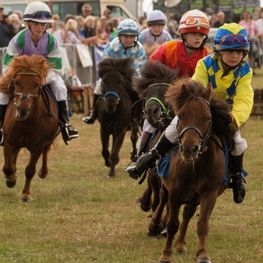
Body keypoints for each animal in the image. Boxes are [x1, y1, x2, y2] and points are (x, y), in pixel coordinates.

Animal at [0, 54, 60, 202]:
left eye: (36, 84)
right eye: (17, 82)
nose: (23, 110)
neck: (26, 122)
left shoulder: (38, 146)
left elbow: (30, 170)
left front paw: (26, 193)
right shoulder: (9, 141)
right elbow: (7, 167)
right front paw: (11, 178)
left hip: (48, 140)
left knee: (45, 152)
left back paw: (43, 172)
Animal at [150, 78, 234, 263]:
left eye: (208, 118)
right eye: (181, 116)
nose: (190, 148)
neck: (196, 165)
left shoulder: (209, 193)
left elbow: (202, 223)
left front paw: (202, 253)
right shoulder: (175, 192)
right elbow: (172, 223)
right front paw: (166, 254)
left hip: (194, 196)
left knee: (188, 213)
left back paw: (180, 243)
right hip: (164, 184)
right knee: (162, 200)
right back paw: (154, 224)